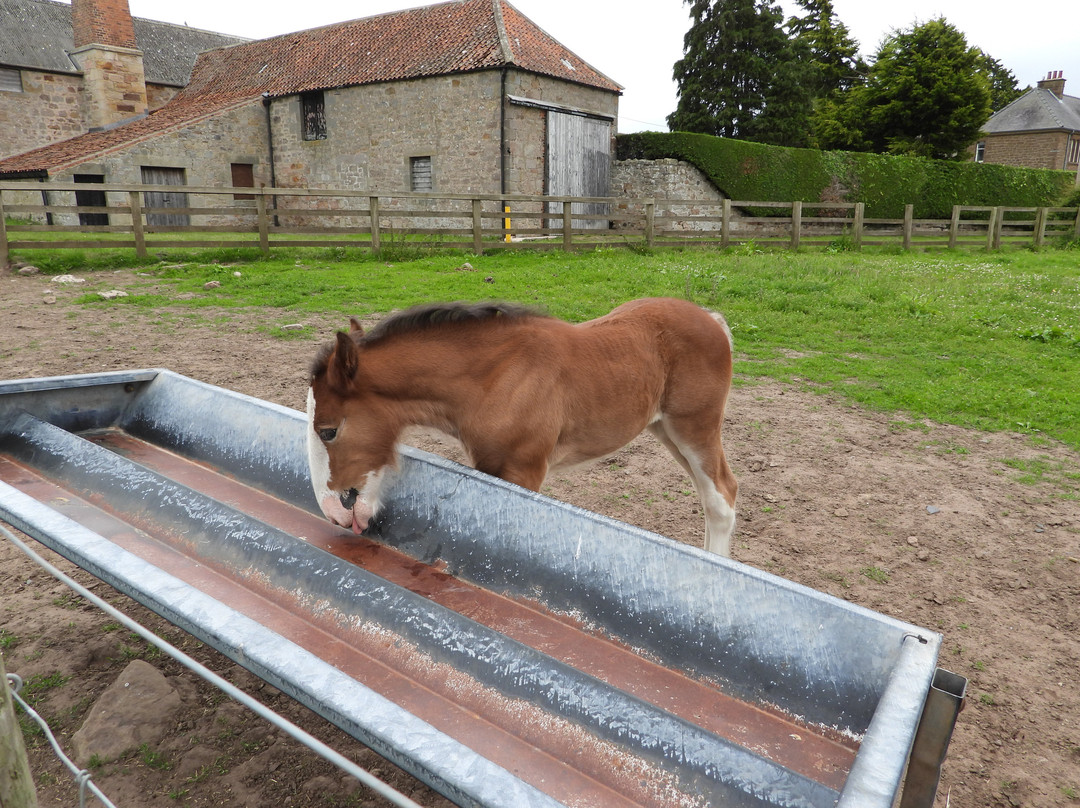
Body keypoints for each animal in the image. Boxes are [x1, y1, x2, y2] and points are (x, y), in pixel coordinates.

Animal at [307, 297, 739, 556]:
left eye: (328, 430)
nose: (334, 512)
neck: (496, 377)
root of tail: (711, 318)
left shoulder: (525, 471)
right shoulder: (489, 466)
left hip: (694, 425)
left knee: (721, 495)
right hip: (665, 429)